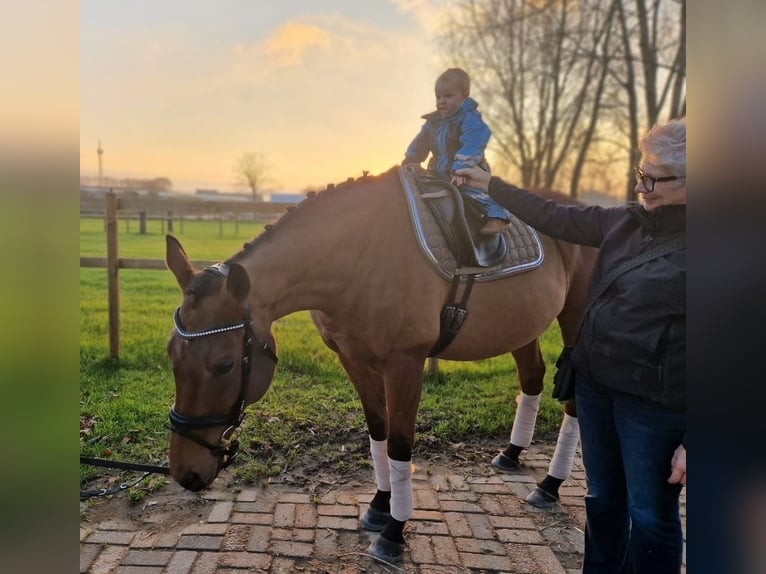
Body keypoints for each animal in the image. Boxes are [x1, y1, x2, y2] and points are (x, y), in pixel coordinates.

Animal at [164, 166, 597, 562]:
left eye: (223, 365)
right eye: (171, 354)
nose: (185, 472)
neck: (357, 254)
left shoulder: (405, 363)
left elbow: (401, 443)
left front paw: (394, 530)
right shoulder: (353, 359)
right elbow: (378, 431)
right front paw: (378, 505)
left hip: (577, 322)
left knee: (575, 402)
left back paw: (550, 484)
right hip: (524, 326)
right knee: (532, 378)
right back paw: (511, 453)